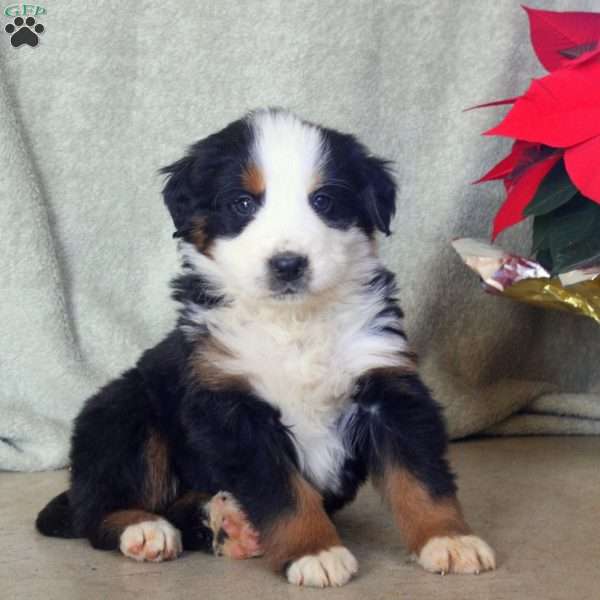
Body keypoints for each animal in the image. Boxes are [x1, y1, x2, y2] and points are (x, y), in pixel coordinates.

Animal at [38, 108, 496, 584]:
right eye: (243, 203)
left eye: (323, 202)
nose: (288, 264)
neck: (295, 323)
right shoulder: (234, 407)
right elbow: (284, 491)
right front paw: (314, 551)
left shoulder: (385, 384)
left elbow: (420, 477)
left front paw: (448, 539)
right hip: (125, 411)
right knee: (98, 513)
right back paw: (145, 530)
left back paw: (228, 525)